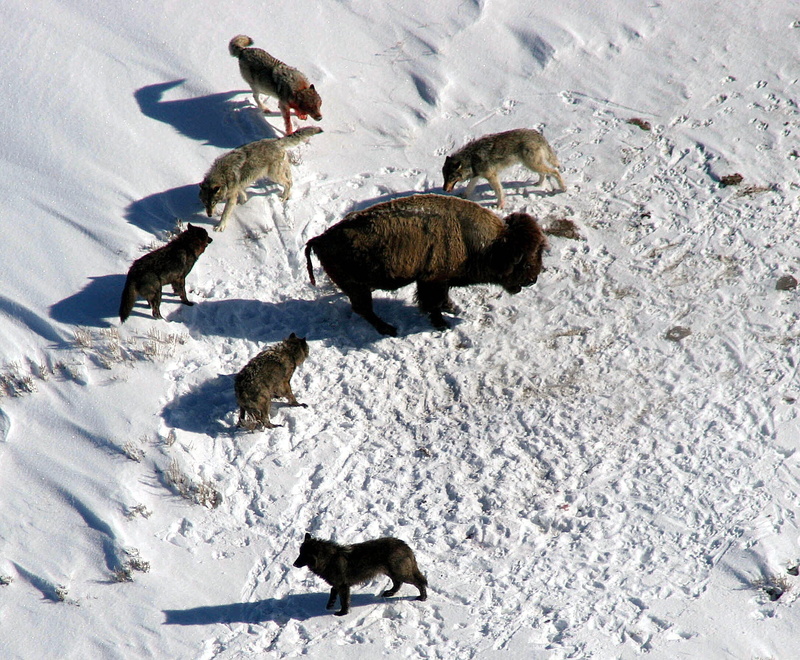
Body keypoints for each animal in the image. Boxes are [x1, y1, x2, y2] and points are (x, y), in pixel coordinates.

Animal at [293, 533, 428, 616]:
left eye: (303, 555)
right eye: (299, 553)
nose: (294, 564)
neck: (328, 559)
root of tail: (405, 545)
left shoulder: (343, 586)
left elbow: (344, 601)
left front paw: (342, 613)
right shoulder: (338, 584)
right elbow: (332, 591)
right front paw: (330, 604)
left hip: (401, 573)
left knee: (420, 582)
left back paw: (422, 598)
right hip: (390, 572)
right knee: (398, 583)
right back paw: (389, 593)